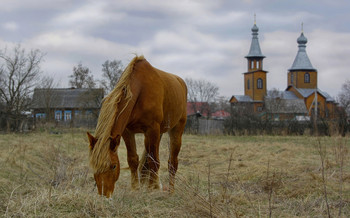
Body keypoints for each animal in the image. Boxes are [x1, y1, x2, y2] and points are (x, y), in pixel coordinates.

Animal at [86, 55, 187, 198]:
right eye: (93, 166)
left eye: (114, 166)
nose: (104, 196)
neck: (140, 90)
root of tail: (180, 82)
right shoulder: (127, 132)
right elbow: (133, 160)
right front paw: (135, 189)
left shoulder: (152, 129)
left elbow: (154, 161)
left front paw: (153, 189)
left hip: (176, 130)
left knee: (172, 162)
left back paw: (171, 191)